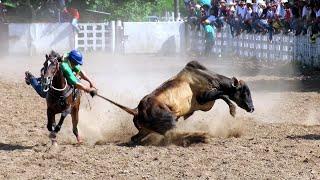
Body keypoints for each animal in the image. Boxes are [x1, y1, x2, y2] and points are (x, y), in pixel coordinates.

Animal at [99, 61, 254, 144]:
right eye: (245, 91)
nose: (252, 108)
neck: (208, 77)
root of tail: (137, 110)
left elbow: (222, 95)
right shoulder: (204, 96)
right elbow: (223, 95)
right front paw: (233, 109)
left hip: (145, 130)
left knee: (135, 138)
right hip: (170, 119)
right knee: (173, 134)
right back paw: (200, 136)